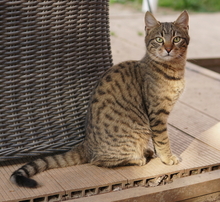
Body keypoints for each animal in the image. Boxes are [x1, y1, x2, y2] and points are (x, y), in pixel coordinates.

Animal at [9, 10, 189, 188]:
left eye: (176, 39)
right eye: (159, 39)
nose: (168, 49)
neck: (174, 70)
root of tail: (86, 144)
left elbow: (158, 141)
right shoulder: (157, 114)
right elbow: (162, 139)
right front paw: (167, 158)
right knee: (99, 161)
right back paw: (139, 158)